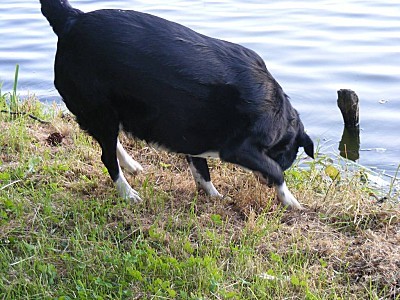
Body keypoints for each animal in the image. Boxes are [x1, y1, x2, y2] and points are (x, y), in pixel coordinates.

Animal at [39, 0, 312, 209]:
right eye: (287, 156)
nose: (264, 183)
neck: (279, 112)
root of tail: (72, 19)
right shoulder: (239, 148)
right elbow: (275, 170)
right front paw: (290, 200)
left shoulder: (192, 135)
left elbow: (202, 171)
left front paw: (213, 196)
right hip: (100, 109)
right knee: (107, 157)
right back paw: (127, 193)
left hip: (107, 114)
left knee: (111, 142)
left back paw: (131, 165)